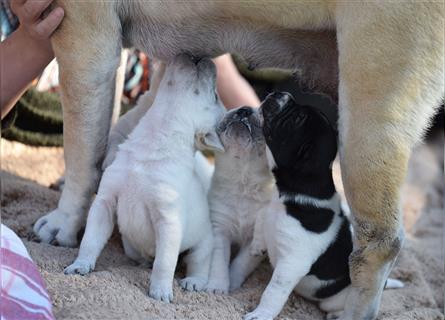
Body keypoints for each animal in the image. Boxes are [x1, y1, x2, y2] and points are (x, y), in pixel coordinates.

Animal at [62, 55, 225, 302]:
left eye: (215, 95)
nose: (204, 59)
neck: (154, 140)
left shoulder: (169, 222)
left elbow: (165, 263)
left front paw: (161, 292)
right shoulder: (104, 204)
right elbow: (90, 241)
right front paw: (81, 265)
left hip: (203, 245)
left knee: (198, 264)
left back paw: (194, 281)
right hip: (131, 247)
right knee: (145, 257)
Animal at [206, 106, 274, 294]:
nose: (245, 109)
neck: (242, 184)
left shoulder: (252, 243)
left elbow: (241, 264)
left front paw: (233, 285)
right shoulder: (219, 229)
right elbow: (219, 262)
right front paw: (217, 287)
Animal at [248, 92, 400, 320]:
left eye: (298, 119)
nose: (282, 93)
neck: (294, 193)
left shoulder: (291, 264)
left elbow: (272, 293)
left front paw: (261, 314)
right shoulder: (269, 209)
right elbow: (260, 218)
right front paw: (257, 245)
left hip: (335, 300)